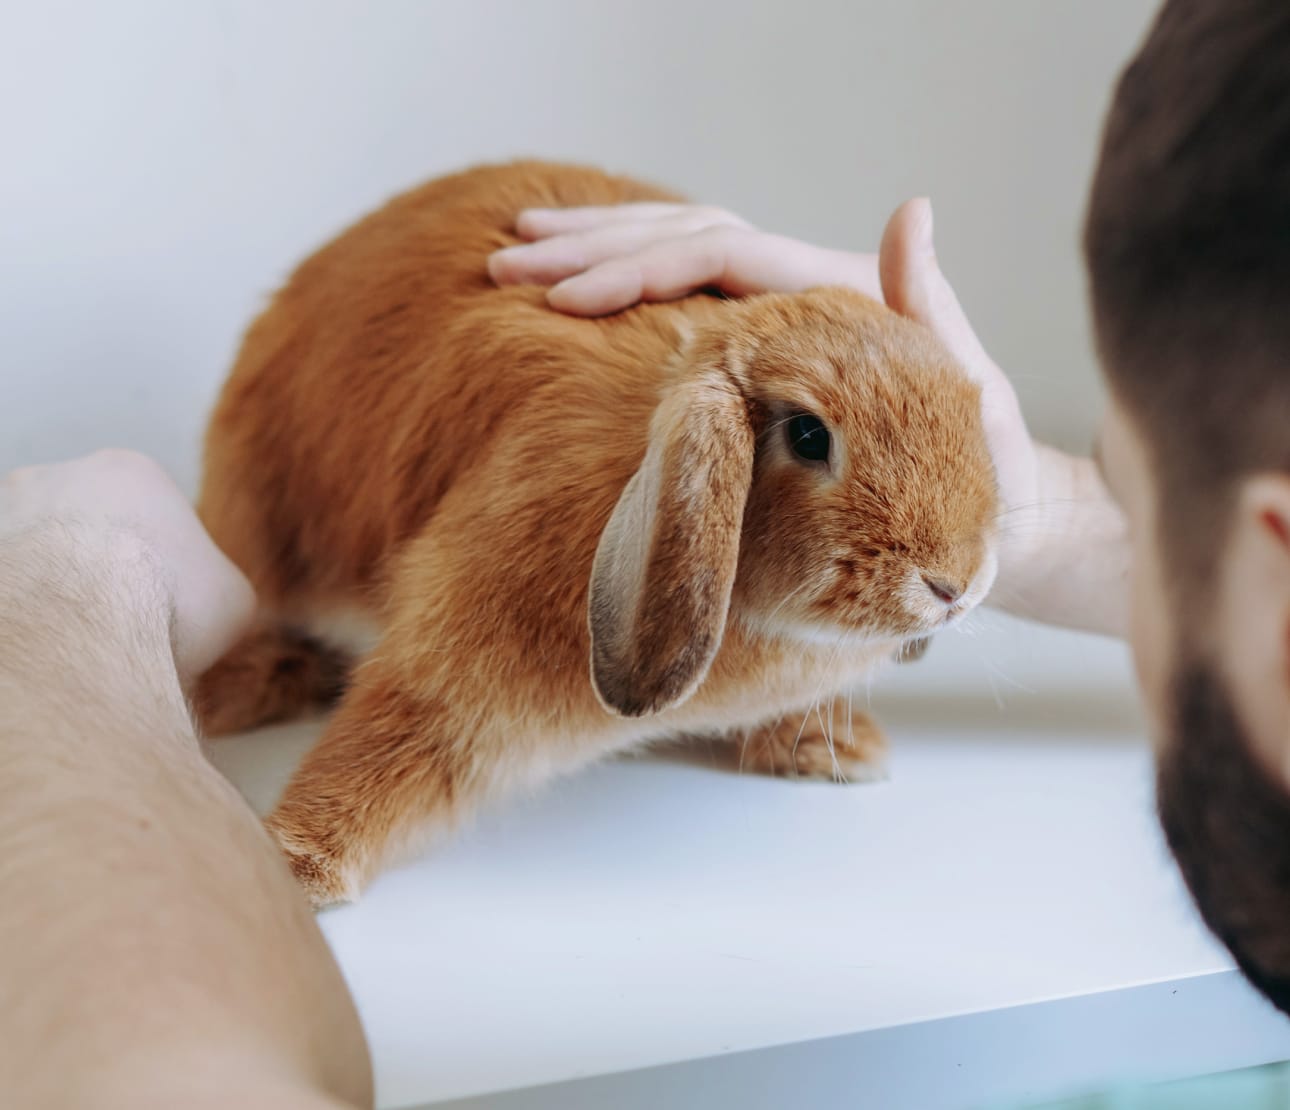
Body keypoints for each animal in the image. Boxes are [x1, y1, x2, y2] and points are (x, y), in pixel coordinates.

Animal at [195, 160, 999, 906]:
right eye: (808, 434)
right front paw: (294, 870)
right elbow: (385, 742)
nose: (954, 584)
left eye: (975, 412)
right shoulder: (453, 659)